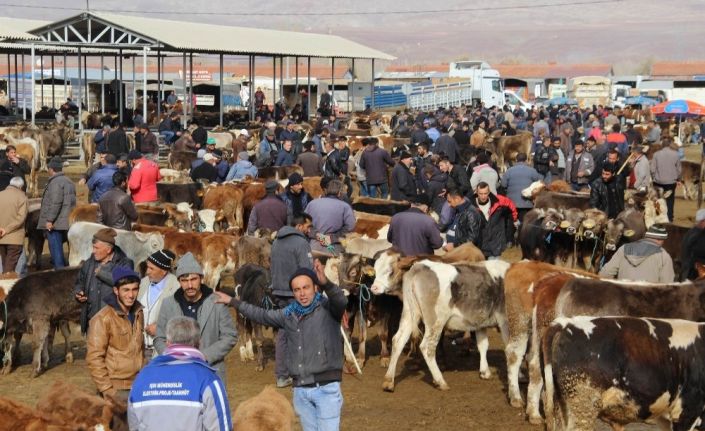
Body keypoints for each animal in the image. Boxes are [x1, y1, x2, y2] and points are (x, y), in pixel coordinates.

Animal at [374, 258, 512, 394]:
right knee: (427, 347)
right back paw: (440, 381)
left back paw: (388, 381)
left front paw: (485, 372)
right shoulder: (506, 322)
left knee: (398, 341)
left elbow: (483, 345)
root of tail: (419, 267)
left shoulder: (479, 322)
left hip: (409, 315)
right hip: (435, 322)